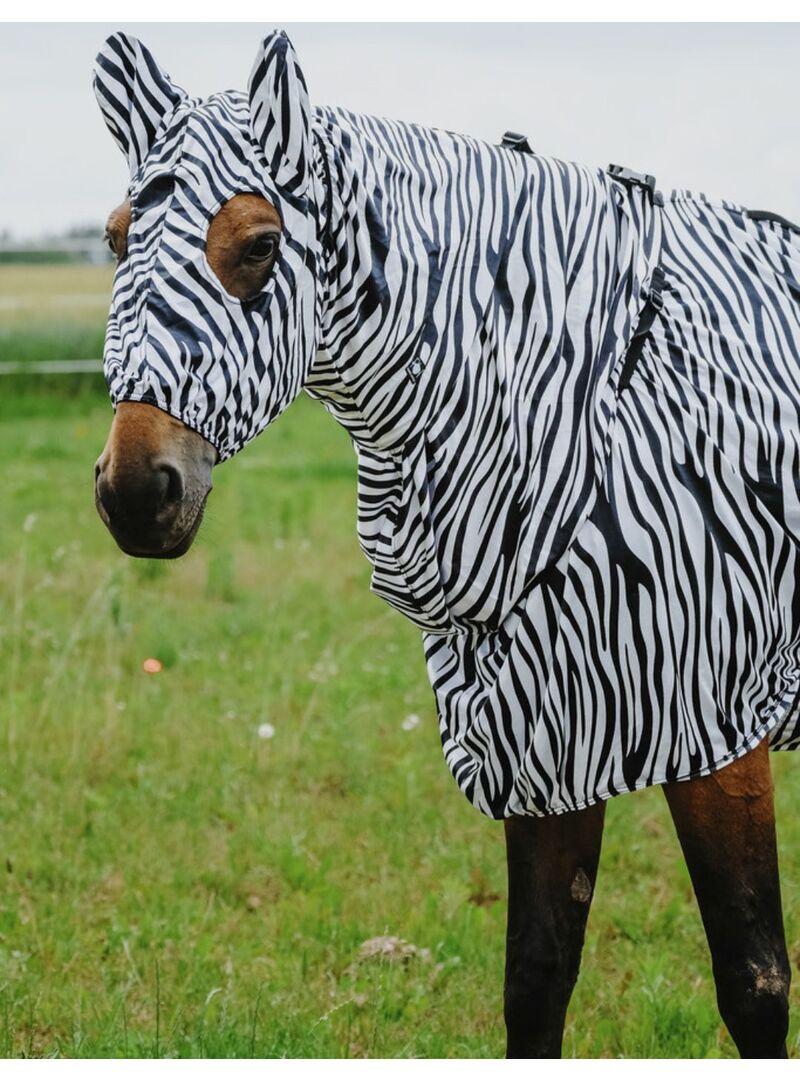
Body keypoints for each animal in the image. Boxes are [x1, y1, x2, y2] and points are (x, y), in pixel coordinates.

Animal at [92, 29, 800, 1057]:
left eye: (261, 246)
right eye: (114, 239)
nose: (135, 494)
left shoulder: (711, 719)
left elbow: (754, 982)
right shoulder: (546, 725)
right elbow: (537, 978)